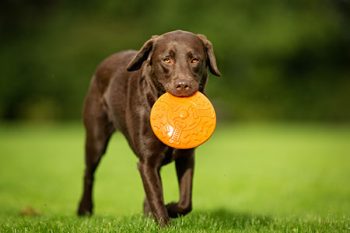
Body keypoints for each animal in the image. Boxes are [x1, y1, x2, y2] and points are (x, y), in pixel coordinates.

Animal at [78, 29, 221, 226]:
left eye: (195, 59)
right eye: (167, 59)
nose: (183, 85)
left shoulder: (186, 157)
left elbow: (185, 202)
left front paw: (169, 208)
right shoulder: (147, 161)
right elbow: (156, 196)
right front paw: (164, 222)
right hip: (96, 138)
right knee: (88, 173)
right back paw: (84, 210)